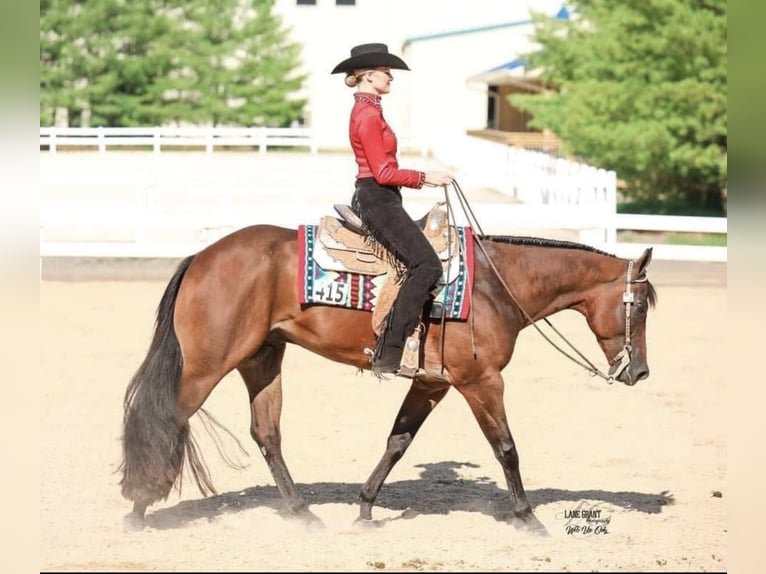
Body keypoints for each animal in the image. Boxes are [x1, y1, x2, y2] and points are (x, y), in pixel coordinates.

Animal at [119, 215, 657, 536]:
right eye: (638, 307)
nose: (640, 371)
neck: (494, 286)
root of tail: (202, 257)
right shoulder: (481, 382)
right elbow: (506, 447)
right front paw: (527, 517)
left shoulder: (432, 382)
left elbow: (398, 442)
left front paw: (364, 508)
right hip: (208, 365)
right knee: (163, 419)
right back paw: (139, 507)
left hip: (263, 358)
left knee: (266, 433)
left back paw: (302, 512)